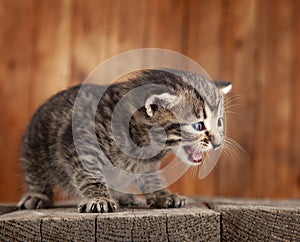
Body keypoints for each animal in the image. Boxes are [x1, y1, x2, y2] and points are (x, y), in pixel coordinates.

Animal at [17, 69, 231, 213]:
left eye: (219, 122)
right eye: (198, 126)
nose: (218, 143)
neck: (145, 142)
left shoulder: (145, 163)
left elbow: (149, 176)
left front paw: (162, 194)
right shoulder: (78, 141)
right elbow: (89, 173)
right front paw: (99, 198)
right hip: (34, 147)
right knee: (37, 176)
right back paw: (37, 196)